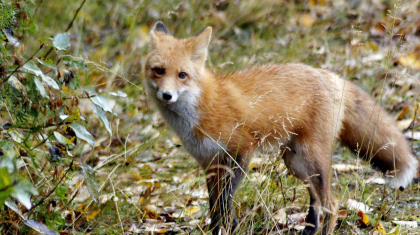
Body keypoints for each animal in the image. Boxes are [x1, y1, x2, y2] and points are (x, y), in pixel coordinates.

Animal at [144, 21, 416, 234]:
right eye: (159, 71)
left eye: (182, 75)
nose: (167, 95)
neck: (199, 110)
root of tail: (332, 76)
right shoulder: (210, 163)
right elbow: (216, 209)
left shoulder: (241, 151)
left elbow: (225, 204)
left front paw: (229, 227)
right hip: (295, 162)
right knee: (316, 201)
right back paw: (308, 231)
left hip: (312, 158)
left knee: (332, 203)